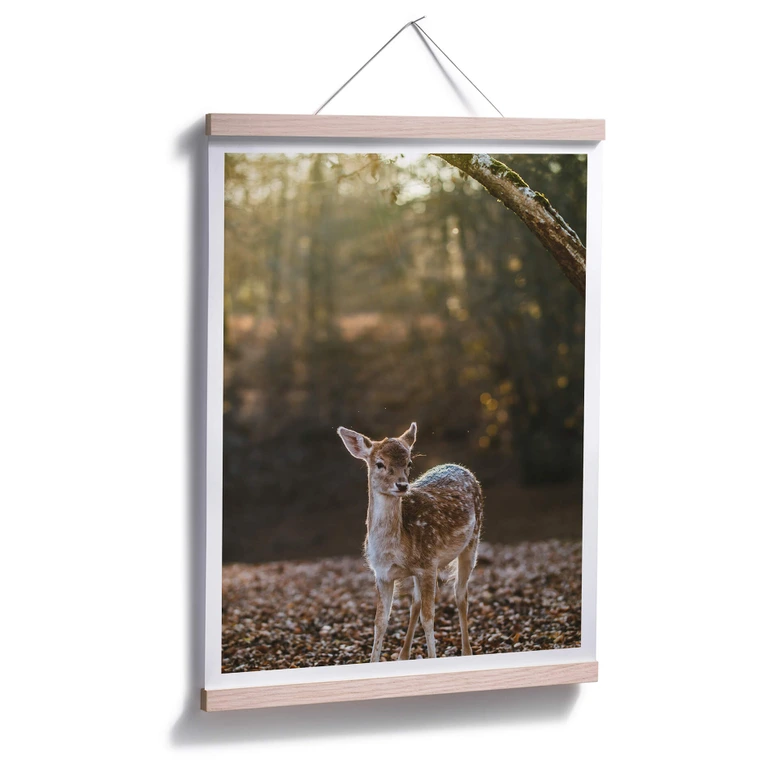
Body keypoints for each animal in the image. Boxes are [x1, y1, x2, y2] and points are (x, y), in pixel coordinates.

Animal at [337, 422, 483, 662]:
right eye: (379, 463)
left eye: (409, 463)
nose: (402, 485)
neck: (393, 549)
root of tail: (461, 467)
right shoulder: (382, 574)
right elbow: (380, 621)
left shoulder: (429, 564)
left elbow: (429, 618)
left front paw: (433, 658)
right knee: (415, 602)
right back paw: (403, 655)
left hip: (472, 541)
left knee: (460, 594)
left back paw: (466, 651)